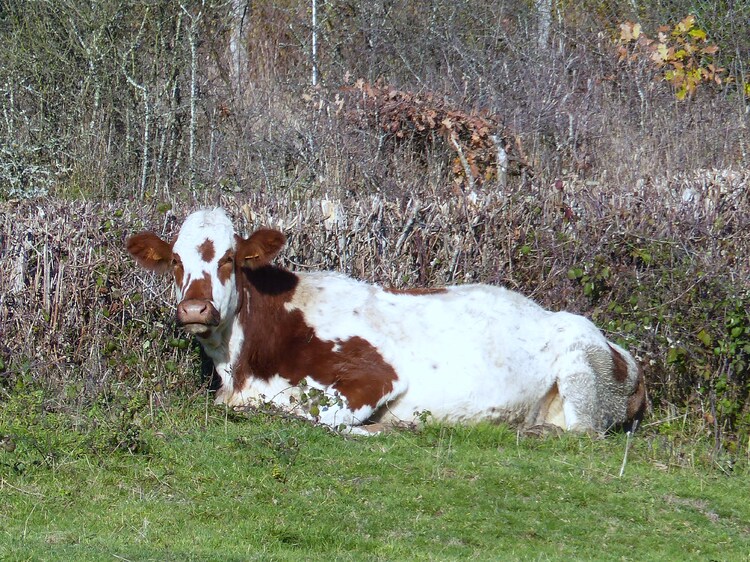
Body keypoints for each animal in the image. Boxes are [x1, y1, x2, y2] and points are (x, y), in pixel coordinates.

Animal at [128, 209, 648, 434]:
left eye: (229, 260)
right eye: (175, 262)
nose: (195, 309)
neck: (242, 366)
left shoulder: (377, 376)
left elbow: (309, 414)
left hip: (582, 372)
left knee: (582, 433)